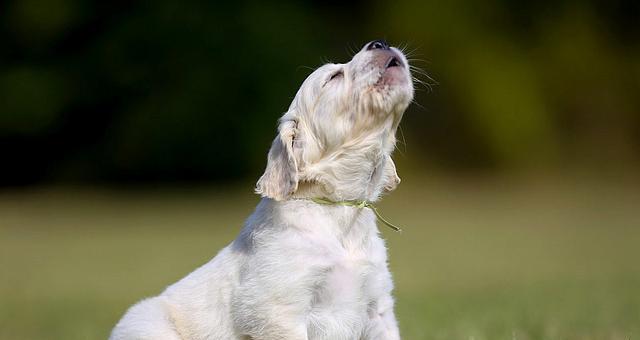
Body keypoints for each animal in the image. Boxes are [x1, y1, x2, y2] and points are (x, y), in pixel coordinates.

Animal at [110, 40, 416, 340]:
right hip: (148, 324)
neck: (338, 208)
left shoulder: (378, 309)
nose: (380, 43)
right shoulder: (279, 312)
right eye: (334, 77)